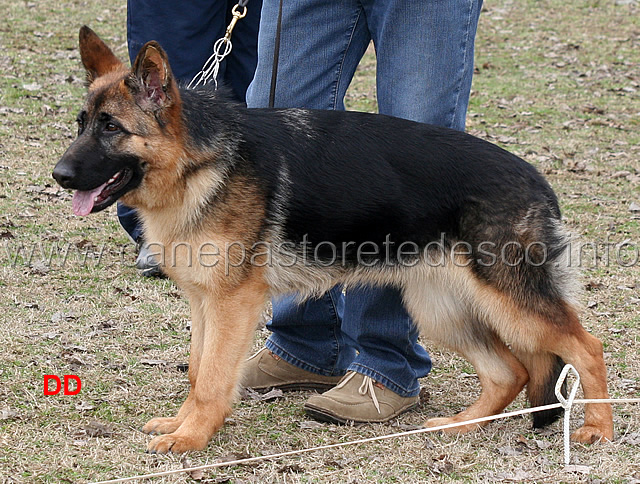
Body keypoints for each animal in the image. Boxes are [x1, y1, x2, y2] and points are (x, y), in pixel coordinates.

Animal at [52, 27, 612, 454]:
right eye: (82, 124)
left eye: (111, 128)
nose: (58, 175)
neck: (200, 164)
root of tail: (538, 180)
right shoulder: (204, 302)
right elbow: (196, 370)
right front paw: (182, 423)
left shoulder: (234, 304)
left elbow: (212, 379)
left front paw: (191, 439)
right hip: (441, 307)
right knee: (508, 372)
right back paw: (460, 425)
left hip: (508, 303)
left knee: (586, 346)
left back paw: (597, 429)